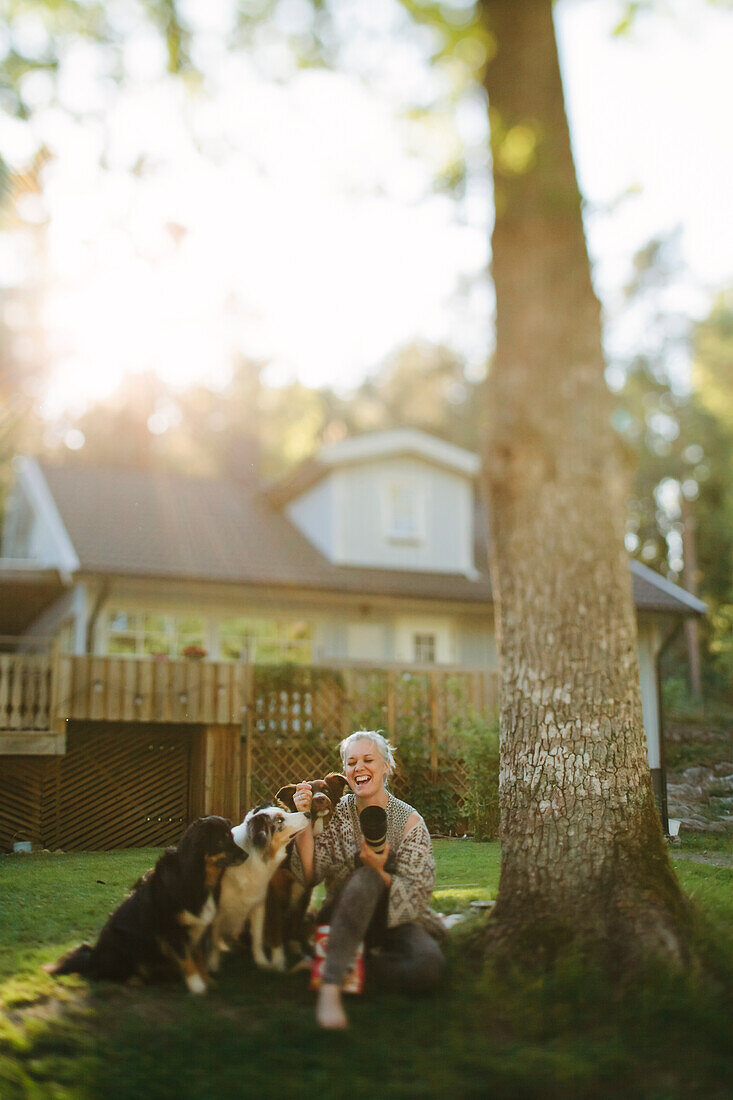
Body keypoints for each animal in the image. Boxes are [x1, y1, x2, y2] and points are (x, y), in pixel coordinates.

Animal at [208, 809, 308, 972]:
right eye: (279, 820)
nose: (308, 813)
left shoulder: (259, 905)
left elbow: (257, 938)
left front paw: (263, 963)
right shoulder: (218, 910)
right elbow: (214, 939)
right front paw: (213, 964)